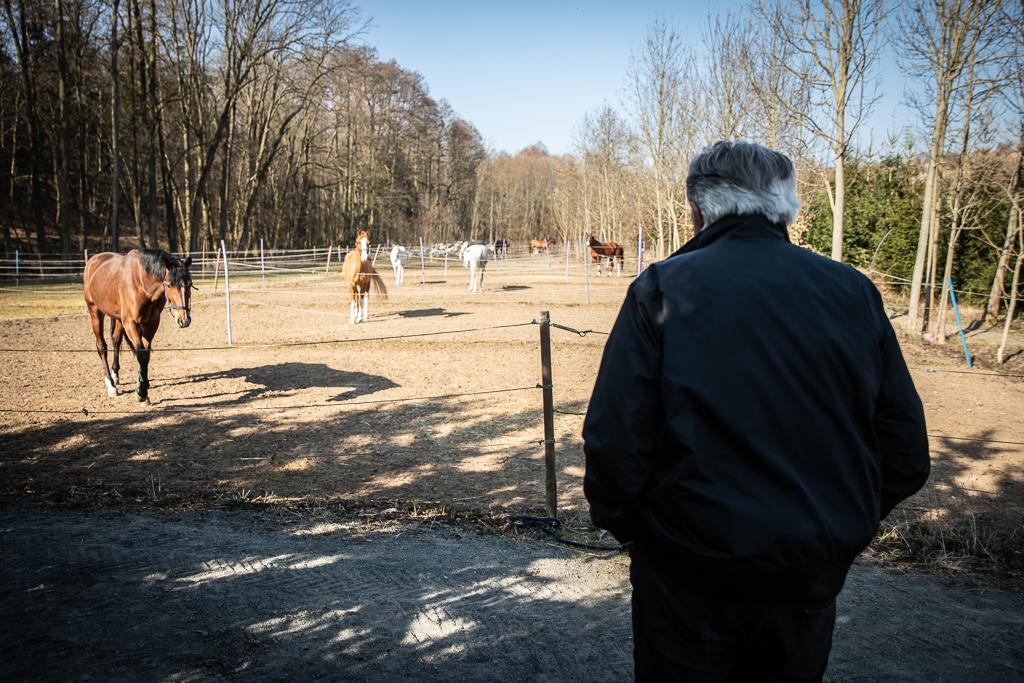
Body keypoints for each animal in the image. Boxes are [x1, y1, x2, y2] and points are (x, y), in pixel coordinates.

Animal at [82, 248, 192, 403]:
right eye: (169, 284)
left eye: (189, 284)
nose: (184, 319)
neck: (141, 283)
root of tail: (93, 261)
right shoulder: (130, 323)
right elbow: (141, 354)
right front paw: (142, 393)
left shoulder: (151, 323)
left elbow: (146, 355)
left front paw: (142, 385)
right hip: (95, 311)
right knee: (101, 347)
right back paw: (111, 384)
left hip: (118, 318)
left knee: (116, 341)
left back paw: (115, 375)